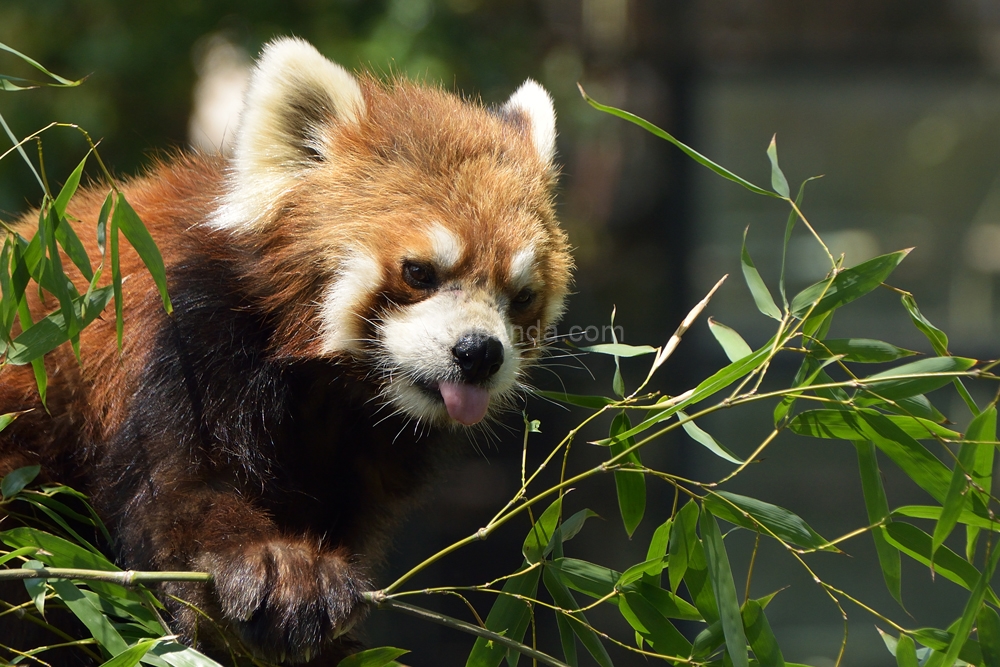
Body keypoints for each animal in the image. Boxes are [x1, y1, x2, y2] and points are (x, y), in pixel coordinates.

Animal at [0, 39, 572, 664]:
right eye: (419, 272)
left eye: (521, 296)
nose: (479, 353)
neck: (330, 390)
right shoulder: (186, 341)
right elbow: (180, 494)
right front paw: (275, 570)